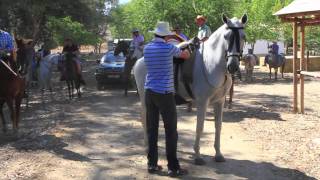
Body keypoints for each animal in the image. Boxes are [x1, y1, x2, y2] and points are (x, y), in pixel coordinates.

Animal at [134, 14, 246, 165]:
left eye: (243, 36)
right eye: (226, 36)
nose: (232, 66)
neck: (211, 64)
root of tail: (138, 62)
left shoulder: (220, 101)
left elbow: (218, 126)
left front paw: (218, 154)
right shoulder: (202, 102)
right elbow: (200, 127)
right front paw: (198, 156)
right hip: (145, 100)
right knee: (144, 119)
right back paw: (147, 146)